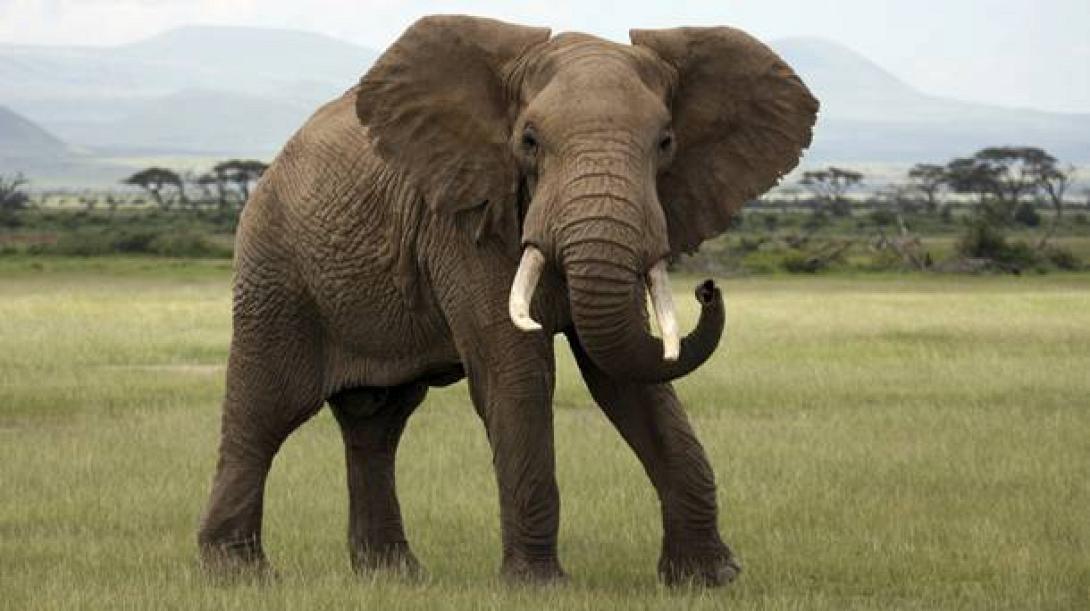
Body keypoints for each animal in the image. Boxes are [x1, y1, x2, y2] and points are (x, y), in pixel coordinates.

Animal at [197, 15, 817, 586]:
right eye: (529, 143)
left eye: (665, 144)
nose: (707, 288)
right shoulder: (465, 219)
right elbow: (517, 372)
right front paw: (539, 585)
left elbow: (629, 376)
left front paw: (710, 580)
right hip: (274, 269)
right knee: (265, 410)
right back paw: (240, 575)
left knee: (376, 422)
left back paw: (394, 577)